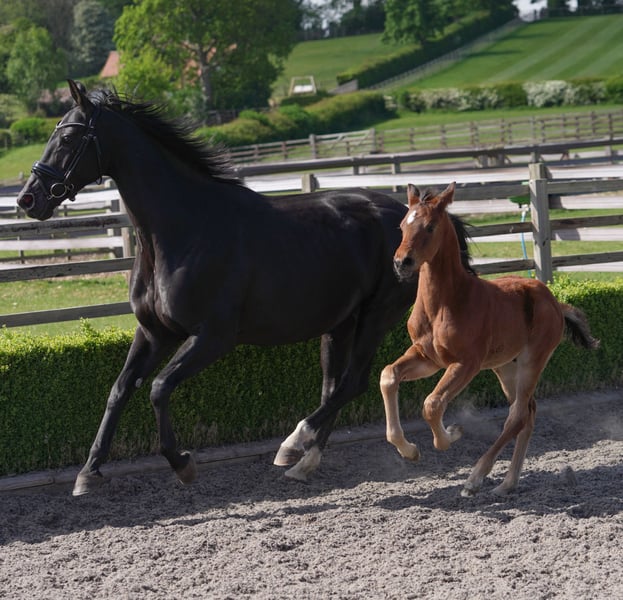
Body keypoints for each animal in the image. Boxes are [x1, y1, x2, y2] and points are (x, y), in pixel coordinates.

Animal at [16, 80, 474, 496]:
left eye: (69, 137)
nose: (28, 199)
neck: (182, 230)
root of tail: (420, 218)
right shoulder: (154, 333)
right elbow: (119, 390)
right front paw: (88, 473)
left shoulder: (212, 337)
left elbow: (160, 389)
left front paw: (182, 464)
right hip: (339, 324)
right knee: (336, 386)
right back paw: (304, 461)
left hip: (377, 316)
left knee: (354, 382)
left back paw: (294, 443)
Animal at [381, 182, 599, 497]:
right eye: (402, 226)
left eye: (430, 226)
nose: (401, 263)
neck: (445, 303)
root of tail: (555, 302)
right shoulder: (427, 358)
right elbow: (388, 376)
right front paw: (409, 450)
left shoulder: (466, 364)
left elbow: (432, 404)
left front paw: (450, 435)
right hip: (505, 366)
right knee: (528, 413)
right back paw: (507, 483)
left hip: (532, 361)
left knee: (517, 415)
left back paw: (475, 478)